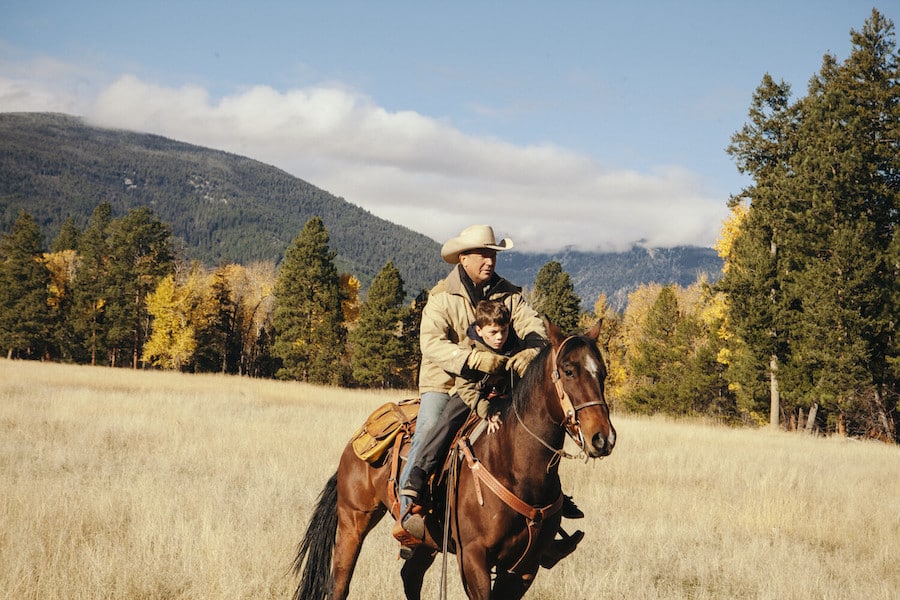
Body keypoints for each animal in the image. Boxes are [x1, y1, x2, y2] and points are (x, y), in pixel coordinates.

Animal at [292, 324, 616, 600]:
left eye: (602, 373)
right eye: (569, 370)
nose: (603, 438)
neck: (517, 469)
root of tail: (354, 442)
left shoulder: (524, 568)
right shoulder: (473, 558)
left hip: (424, 541)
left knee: (410, 576)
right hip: (354, 520)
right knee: (340, 583)